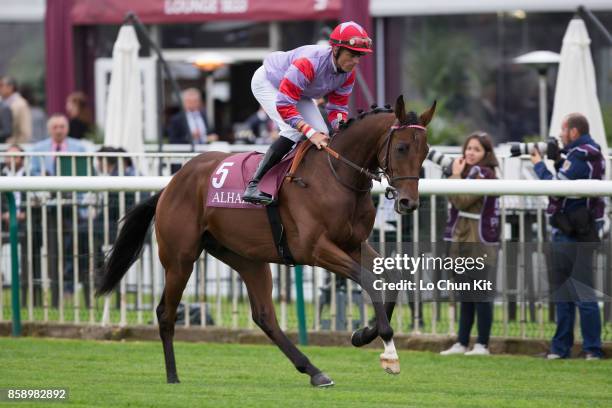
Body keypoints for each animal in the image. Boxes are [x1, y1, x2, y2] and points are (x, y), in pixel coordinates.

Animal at [97, 95, 436, 386]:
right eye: (402, 147)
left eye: (426, 150)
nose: (408, 202)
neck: (337, 176)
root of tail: (170, 185)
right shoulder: (315, 249)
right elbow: (368, 280)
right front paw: (388, 351)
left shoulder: (354, 244)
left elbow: (391, 280)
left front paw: (362, 334)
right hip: (180, 259)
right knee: (166, 312)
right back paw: (172, 375)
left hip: (246, 258)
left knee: (264, 316)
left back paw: (314, 371)